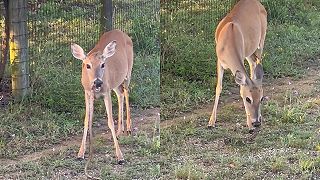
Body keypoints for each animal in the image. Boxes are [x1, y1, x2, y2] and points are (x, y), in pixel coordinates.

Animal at [70, 29, 133, 166]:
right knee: (120, 94)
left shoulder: (106, 92)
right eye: (87, 65)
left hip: (128, 72)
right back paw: (120, 131)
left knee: (126, 92)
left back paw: (129, 128)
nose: (98, 82)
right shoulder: (87, 93)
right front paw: (80, 153)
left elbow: (110, 121)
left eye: (103, 64)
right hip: (115, 83)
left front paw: (120, 156)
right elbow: (86, 120)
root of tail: (121, 32)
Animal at [208, 0, 268, 133]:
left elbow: (240, 88)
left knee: (257, 63)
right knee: (253, 64)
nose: (257, 122)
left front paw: (250, 125)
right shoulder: (219, 61)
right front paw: (211, 122)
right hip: (250, 51)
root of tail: (258, 3)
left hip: (261, 40)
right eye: (248, 99)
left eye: (261, 99)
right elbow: (219, 87)